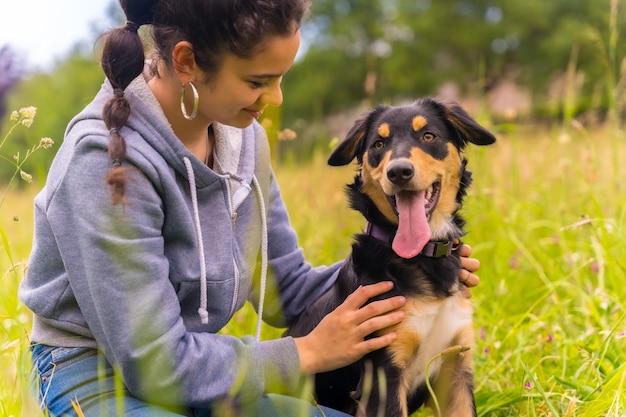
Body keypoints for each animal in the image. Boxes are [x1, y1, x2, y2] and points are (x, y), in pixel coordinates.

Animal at [286, 97, 494, 416]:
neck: (423, 256)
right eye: (378, 144)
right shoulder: (384, 374)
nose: (399, 172)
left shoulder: (455, 366)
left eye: (428, 136)